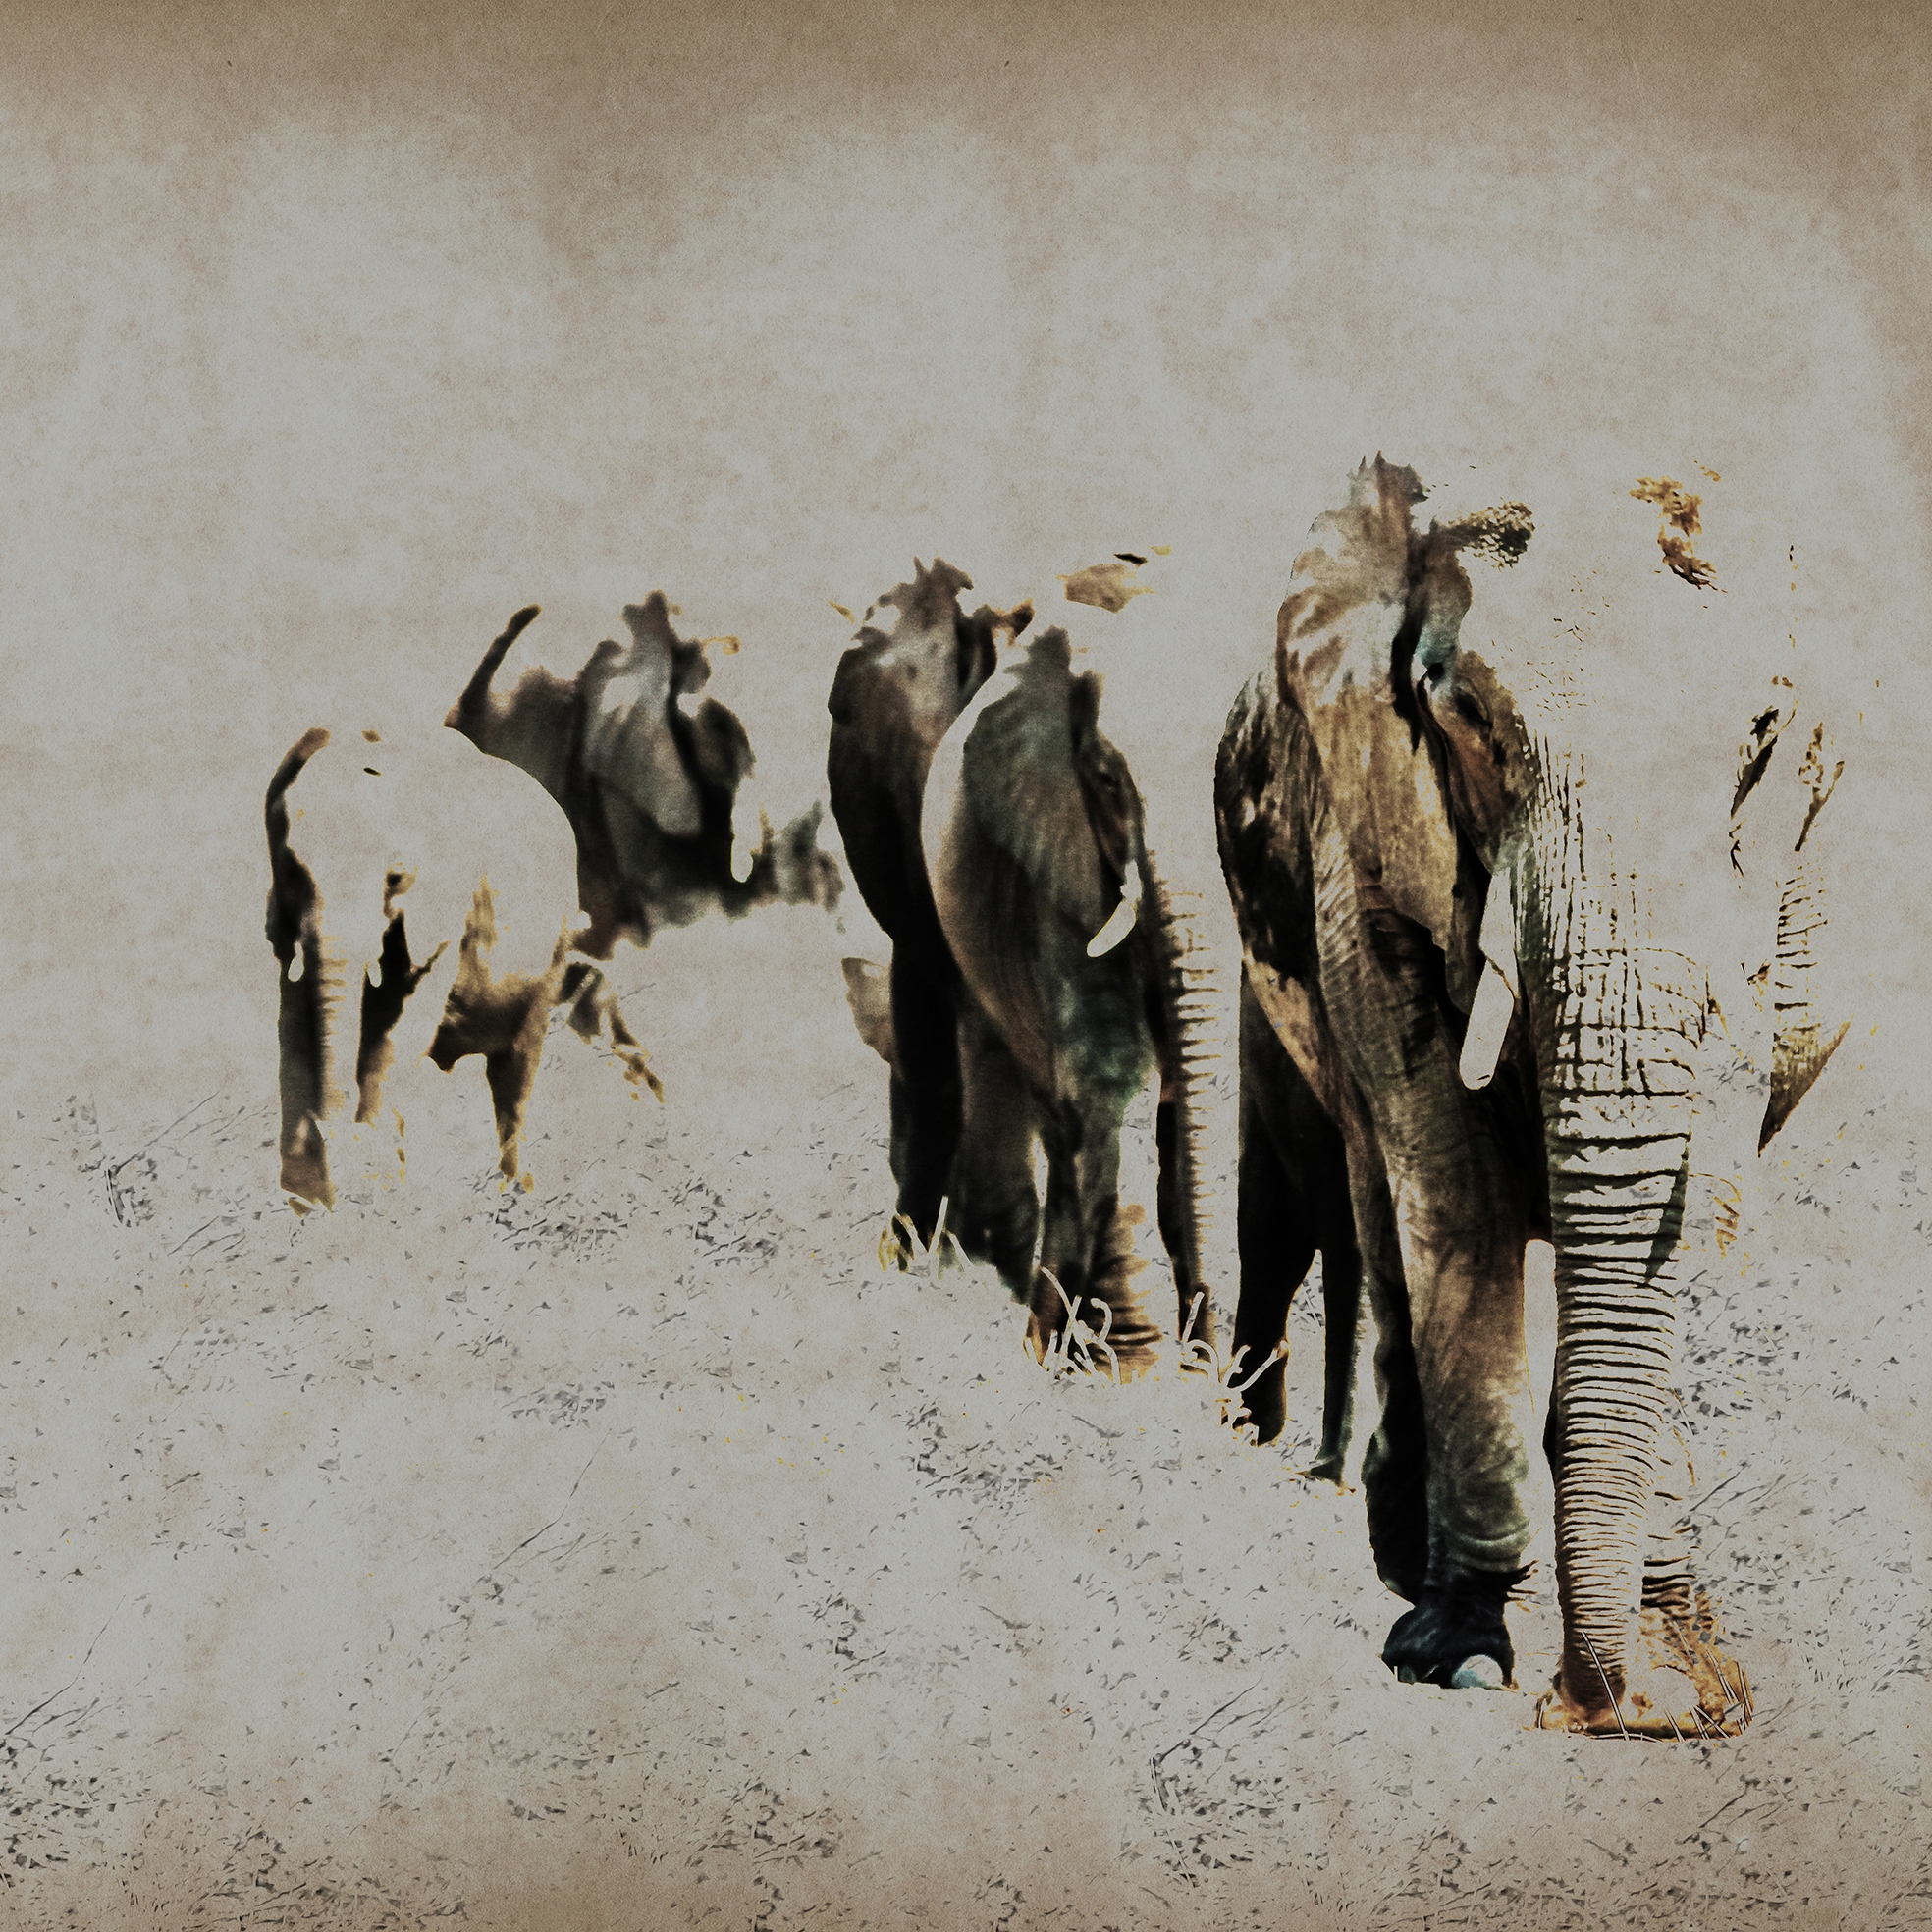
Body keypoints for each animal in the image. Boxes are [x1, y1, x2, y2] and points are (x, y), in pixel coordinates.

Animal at [265, 720, 656, 1213]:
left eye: (396, 878)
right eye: (292, 870)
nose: (332, 1130)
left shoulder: (448, 907)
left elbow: (398, 1030)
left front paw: (371, 1187)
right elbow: (294, 1023)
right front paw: (307, 1204)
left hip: (555, 948)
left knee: (515, 1070)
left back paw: (515, 1193)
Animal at [1215, 456, 1847, 1735]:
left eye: (1761, 735)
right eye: (1470, 722)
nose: (1589, 1710)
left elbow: (1696, 1184)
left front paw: (1684, 1685)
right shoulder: (1367, 851)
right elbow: (1454, 1193)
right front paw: (1463, 1655)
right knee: (1377, 1218)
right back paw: (1403, 1556)